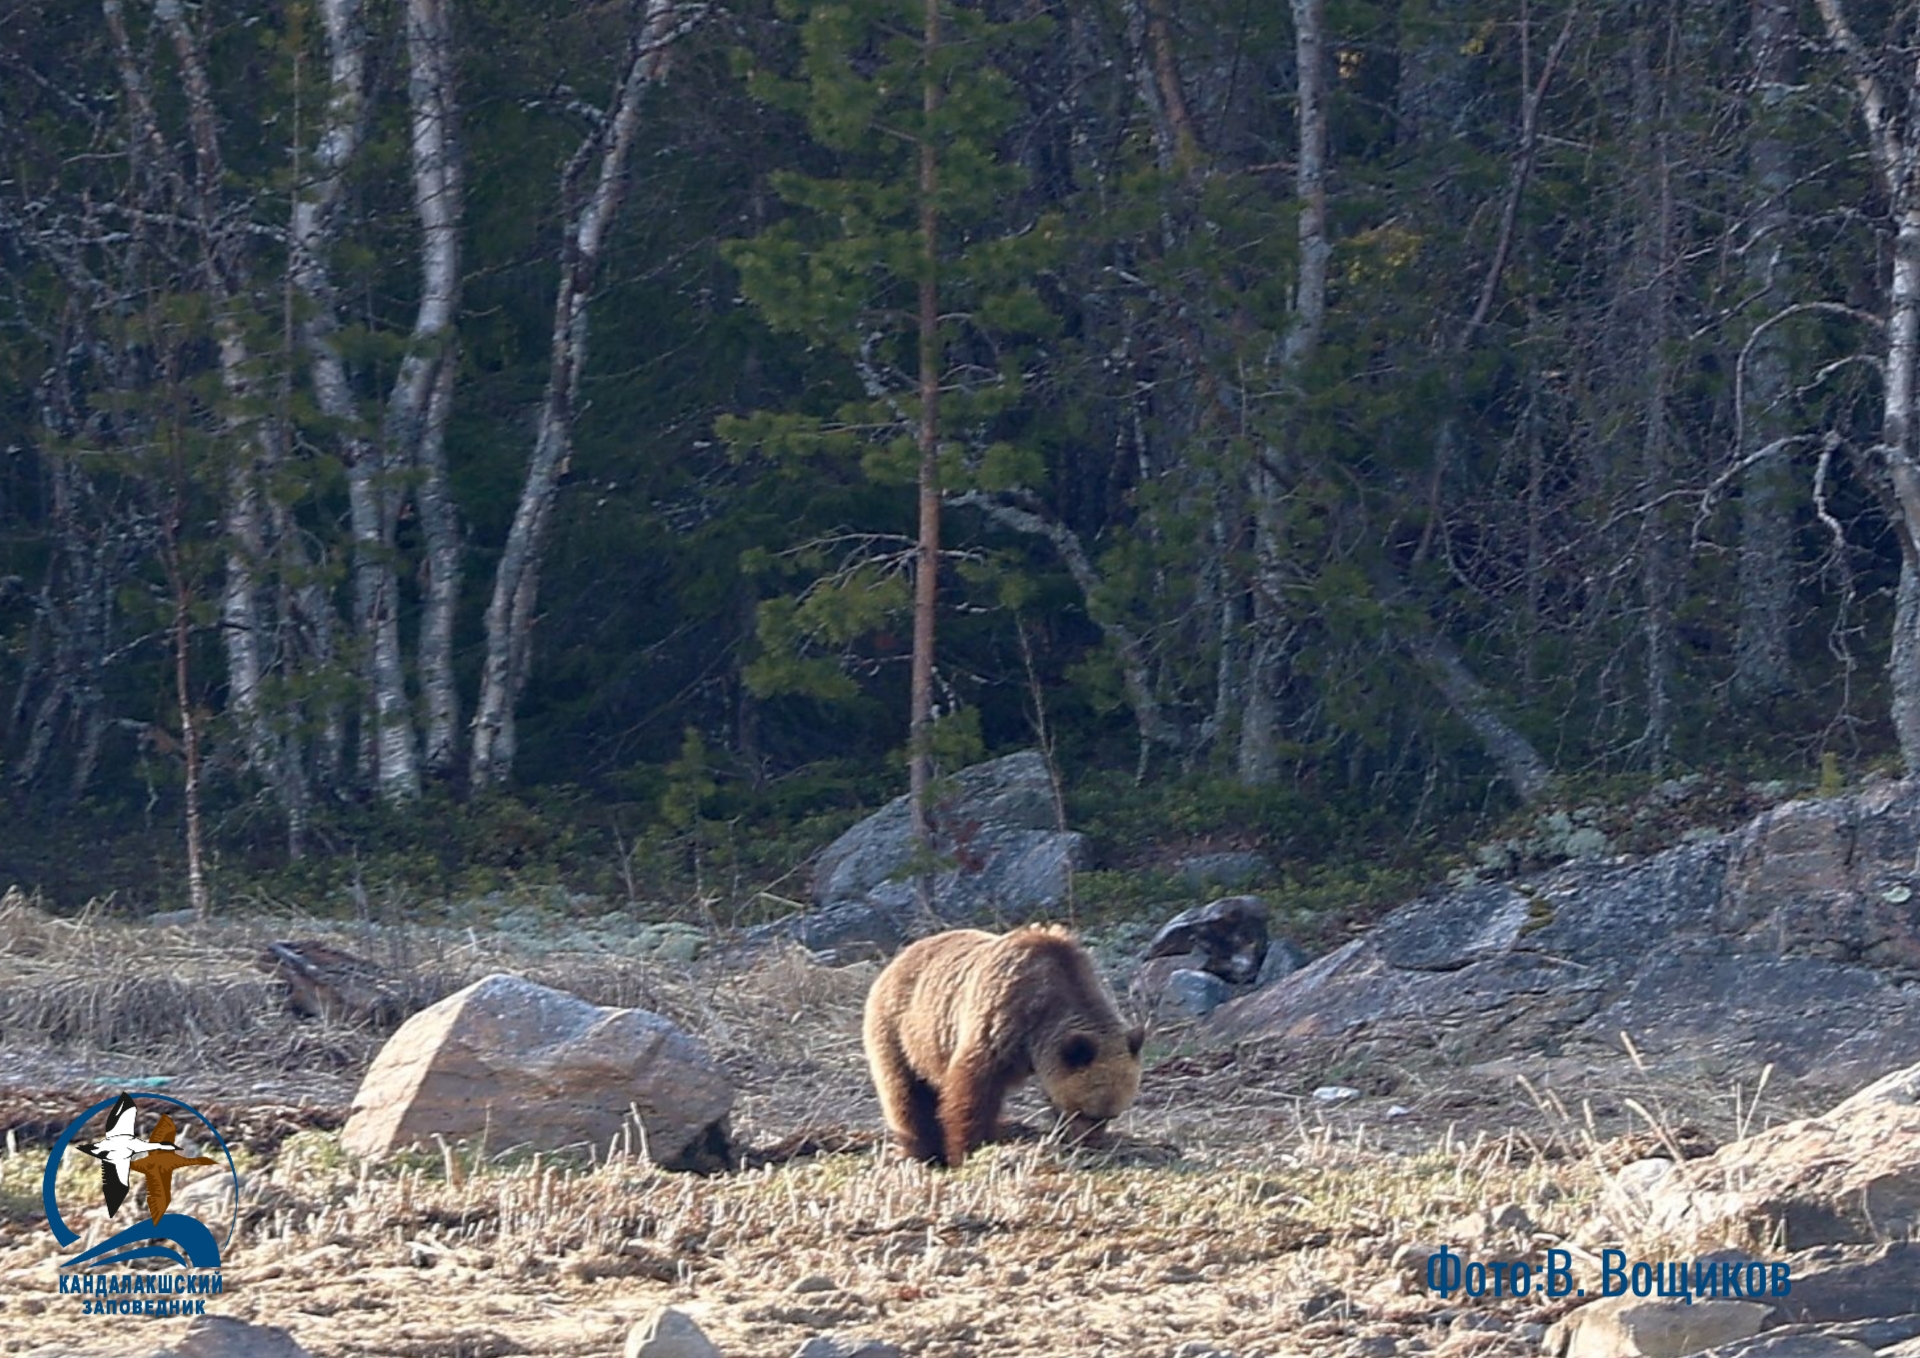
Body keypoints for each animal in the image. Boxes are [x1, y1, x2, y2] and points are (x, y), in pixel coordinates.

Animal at [861, 924, 1146, 1167]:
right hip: (902, 1031)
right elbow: (973, 1093)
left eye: (1111, 1116)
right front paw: (967, 1149)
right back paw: (922, 1151)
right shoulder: (998, 1023)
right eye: (1085, 1111)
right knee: (906, 1095)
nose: (1090, 1142)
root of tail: (896, 960)